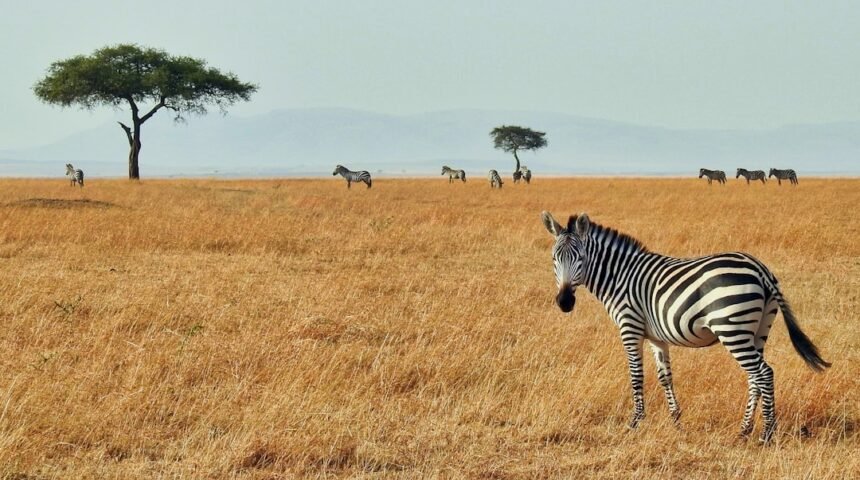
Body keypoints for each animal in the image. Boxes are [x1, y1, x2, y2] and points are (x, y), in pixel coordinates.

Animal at [541, 211, 830, 443]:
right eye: (554, 258)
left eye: (580, 257)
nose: (564, 302)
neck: (619, 276)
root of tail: (760, 269)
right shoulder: (657, 337)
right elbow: (665, 377)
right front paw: (676, 420)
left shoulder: (630, 327)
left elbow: (636, 376)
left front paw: (635, 422)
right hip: (758, 330)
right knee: (755, 377)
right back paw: (744, 430)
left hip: (732, 328)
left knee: (765, 373)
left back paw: (766, 434)